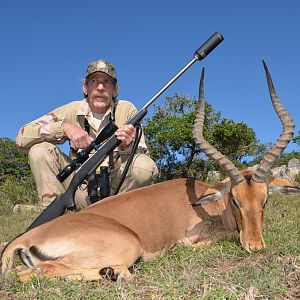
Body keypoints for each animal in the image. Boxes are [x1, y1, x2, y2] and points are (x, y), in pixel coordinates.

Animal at [0, 60, 296, 282]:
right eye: (235, 199)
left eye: (264, 200)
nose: (255, 246)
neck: (209, 206)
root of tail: (25, 237)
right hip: (130, 246)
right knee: (31, 273)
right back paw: (117, 273)